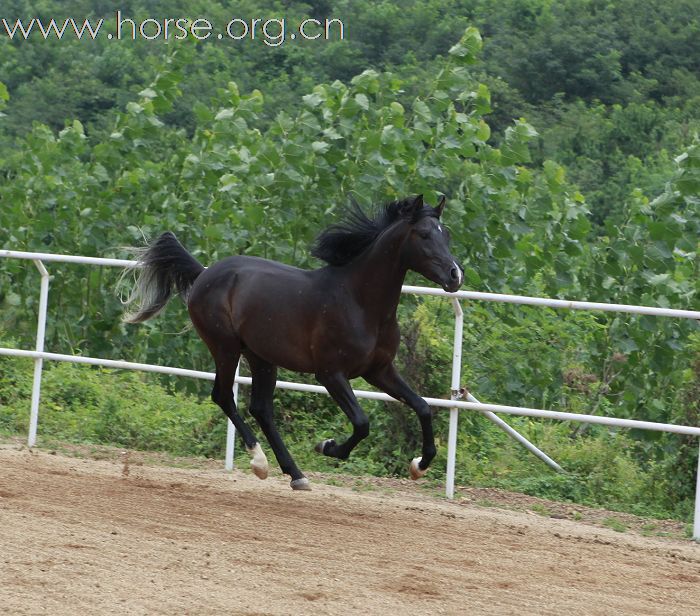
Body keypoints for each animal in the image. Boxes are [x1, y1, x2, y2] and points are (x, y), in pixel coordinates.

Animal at [124, 195, 464, 488]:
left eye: (446, 234)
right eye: (423, 234)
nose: (455, 275)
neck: (360, 302)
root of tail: (205, 272)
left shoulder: (379, 370)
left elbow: (422, 407)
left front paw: (419, 465)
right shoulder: (330, 374)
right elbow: (362, 422)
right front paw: (327, 446)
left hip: (261, 357)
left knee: (261, 408)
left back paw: (296, 475)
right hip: (225, 347)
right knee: (223, 396)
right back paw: (260, 463)